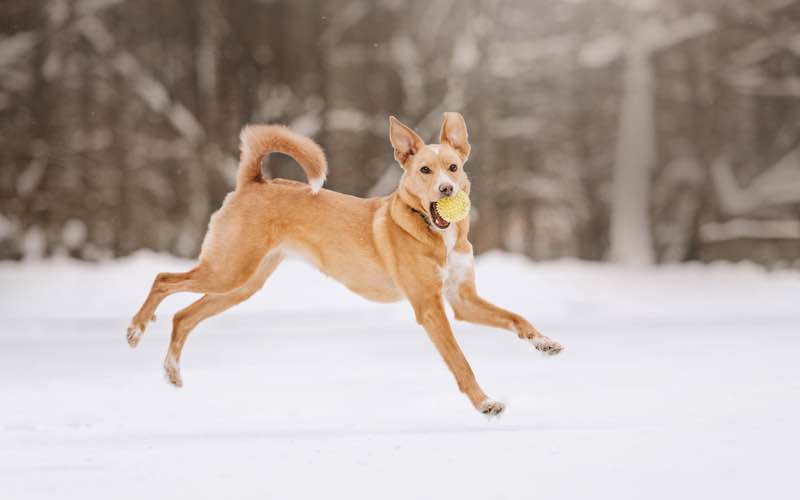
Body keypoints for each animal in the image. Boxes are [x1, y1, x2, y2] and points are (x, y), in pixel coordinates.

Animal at [128, 112, 564, 414]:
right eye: (425, 169)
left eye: (453, 167)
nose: (447, 189)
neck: (433, 231)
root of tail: (253, 182)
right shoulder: (430, 307)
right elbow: (461, 361)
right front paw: (484, 402)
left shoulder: (461, 300)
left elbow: (515, 317)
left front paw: (543, 341)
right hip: (228, 270)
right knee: (163, 279)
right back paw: (136, 329)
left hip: (241, 284)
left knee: (184, 316)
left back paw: (171, 369)